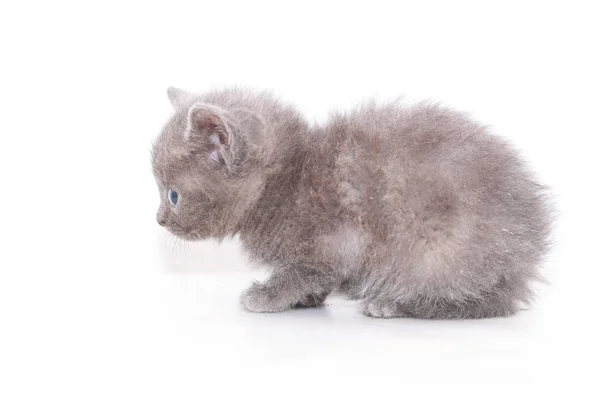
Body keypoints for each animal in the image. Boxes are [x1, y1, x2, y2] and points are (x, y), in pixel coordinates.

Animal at [152, 86, 552, 318]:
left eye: (173, 195)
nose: (158, 219)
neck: (283, 182)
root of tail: (525, 257)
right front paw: (306, 300)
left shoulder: (330, 240)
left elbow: (302, 272)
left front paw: (268, 296)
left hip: (437, 246)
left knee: (480, 302)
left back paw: (394, 303)